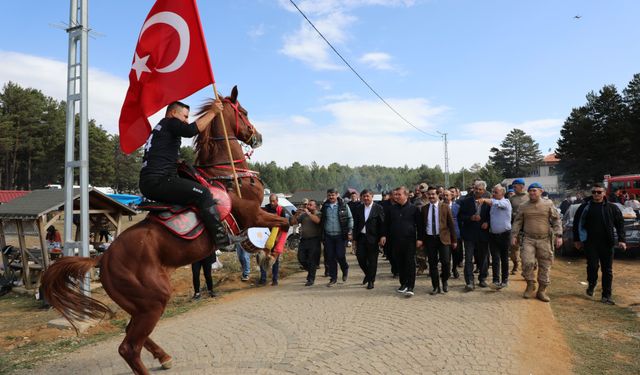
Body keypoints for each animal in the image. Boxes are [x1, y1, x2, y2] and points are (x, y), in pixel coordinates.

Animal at [40, 86, 288, 374]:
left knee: (132, 332)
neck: (227, 174)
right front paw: (269, 255)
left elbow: (280, 222)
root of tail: (103, 257)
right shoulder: (253, 214)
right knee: (128, 347)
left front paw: (263, 252)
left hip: (140, 304)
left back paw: (164, 356)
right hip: (154, 300)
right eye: (244, 112)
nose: (257, 136)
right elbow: (285, 222)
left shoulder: (255, 216)